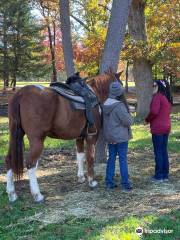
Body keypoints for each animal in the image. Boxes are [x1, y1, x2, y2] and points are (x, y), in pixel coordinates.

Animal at [5, 70, 122, 202]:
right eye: (120, 84)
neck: (94, 93)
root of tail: (21, 94)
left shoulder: (79, 138)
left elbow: (80, 156)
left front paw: (81, 177)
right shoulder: (91, 137)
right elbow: (90, 157)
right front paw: (91, 181)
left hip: (14, 136)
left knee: (9, 159)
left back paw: (12, 194)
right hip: (37, 140)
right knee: (31, 163)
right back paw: (37, 195)